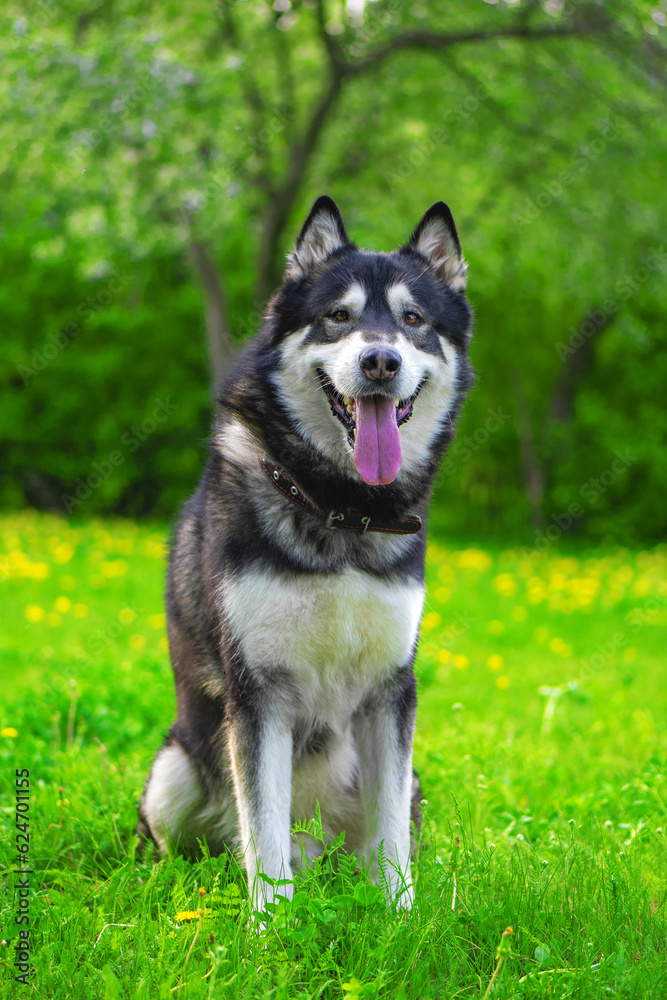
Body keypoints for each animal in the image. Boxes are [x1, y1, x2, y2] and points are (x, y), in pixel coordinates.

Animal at [137, 193, 474, 908]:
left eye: (413, 320)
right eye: (338, 317)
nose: (380, 362)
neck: (341, 510)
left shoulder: (390, 689)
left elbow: (390, 835)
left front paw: (400, 914)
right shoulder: (258, 691)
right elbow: (262, 829)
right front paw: (270, 923)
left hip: (410, 783)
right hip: (175, 771)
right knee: (197, 840)